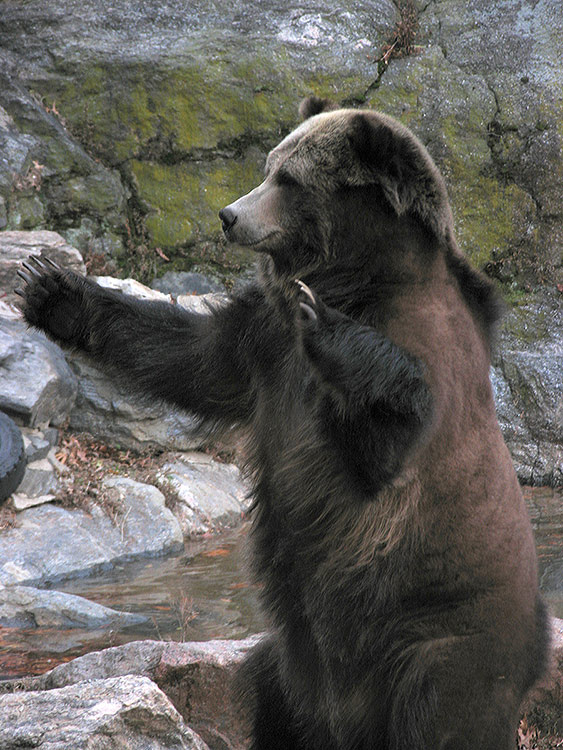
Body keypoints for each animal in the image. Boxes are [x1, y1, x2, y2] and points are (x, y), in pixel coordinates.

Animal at [17, 97, 549, 750]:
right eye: (268, 166)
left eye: (288, 179)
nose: (229, 215)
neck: (356, 275)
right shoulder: (263, 345)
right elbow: (192, 356)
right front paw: (50, 286)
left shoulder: (425, 353)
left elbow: (386, 442)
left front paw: (327, 329)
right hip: (303, 662)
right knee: (272, 687)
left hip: (438, 635)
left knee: (436, 717)